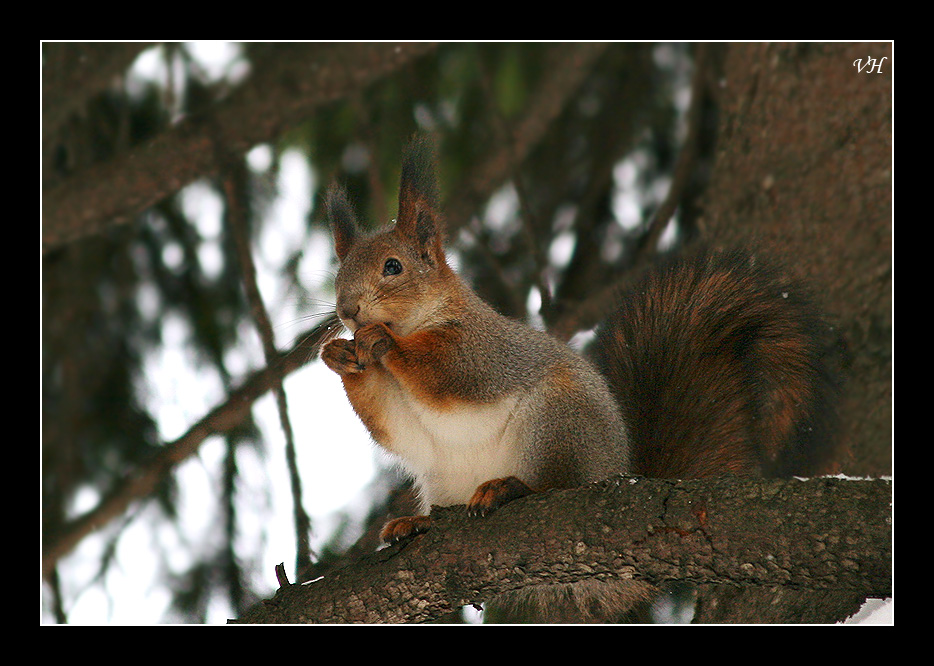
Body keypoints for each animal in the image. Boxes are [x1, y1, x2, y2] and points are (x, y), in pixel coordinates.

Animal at [322, 136, 840, 624]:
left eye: (393, 266)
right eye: (338, 275)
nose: (347, 310)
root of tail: (617, 470)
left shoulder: (481, 349)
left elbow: (447, 373)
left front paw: (382, 340)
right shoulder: (400, 408)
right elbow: (392, 424)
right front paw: (340, 356)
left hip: (558, 422)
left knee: (555, 485)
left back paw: (509, 488)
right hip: (443, 477)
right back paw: (417, 524)